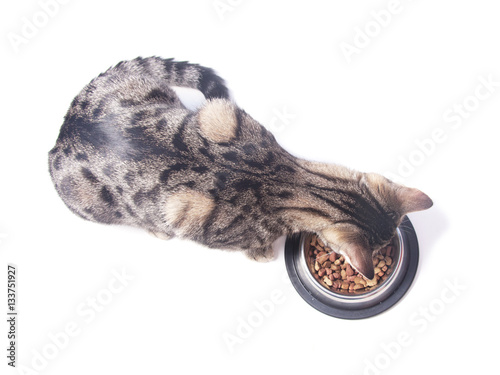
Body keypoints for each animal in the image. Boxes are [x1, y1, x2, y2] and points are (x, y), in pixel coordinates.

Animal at [48, 55, 432, 280]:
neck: (285, 179)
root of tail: (65, 128)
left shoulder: (220, 111)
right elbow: (249, 247)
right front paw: (263, 254)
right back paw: (156, 230)